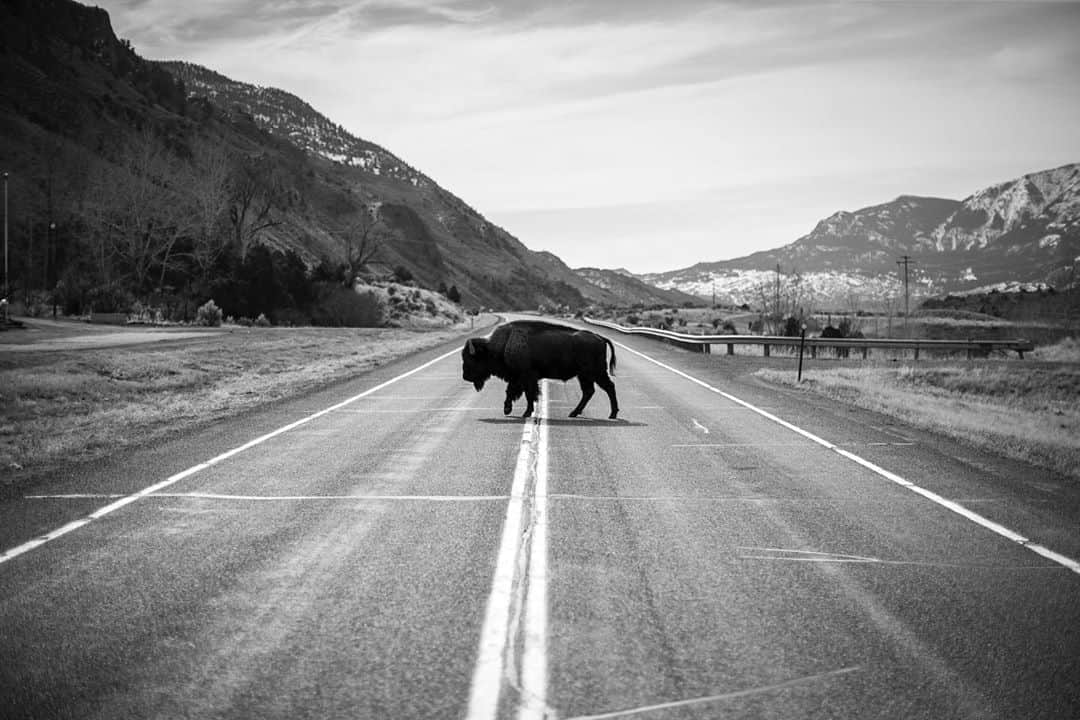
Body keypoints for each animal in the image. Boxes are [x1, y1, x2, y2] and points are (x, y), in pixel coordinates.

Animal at [462, 317, 617, 418]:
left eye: (471, 359)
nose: (465, 377)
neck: (505, 343)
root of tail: (600, 338)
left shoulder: (526, 377)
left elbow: (529, 394)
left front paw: (525, 413)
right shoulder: (517, 377)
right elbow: (511, 392)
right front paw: (507, 409)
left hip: (595, 373)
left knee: (608, 387)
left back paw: (612, 414)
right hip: (584, 375)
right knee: (589, 392)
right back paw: (573, 413)